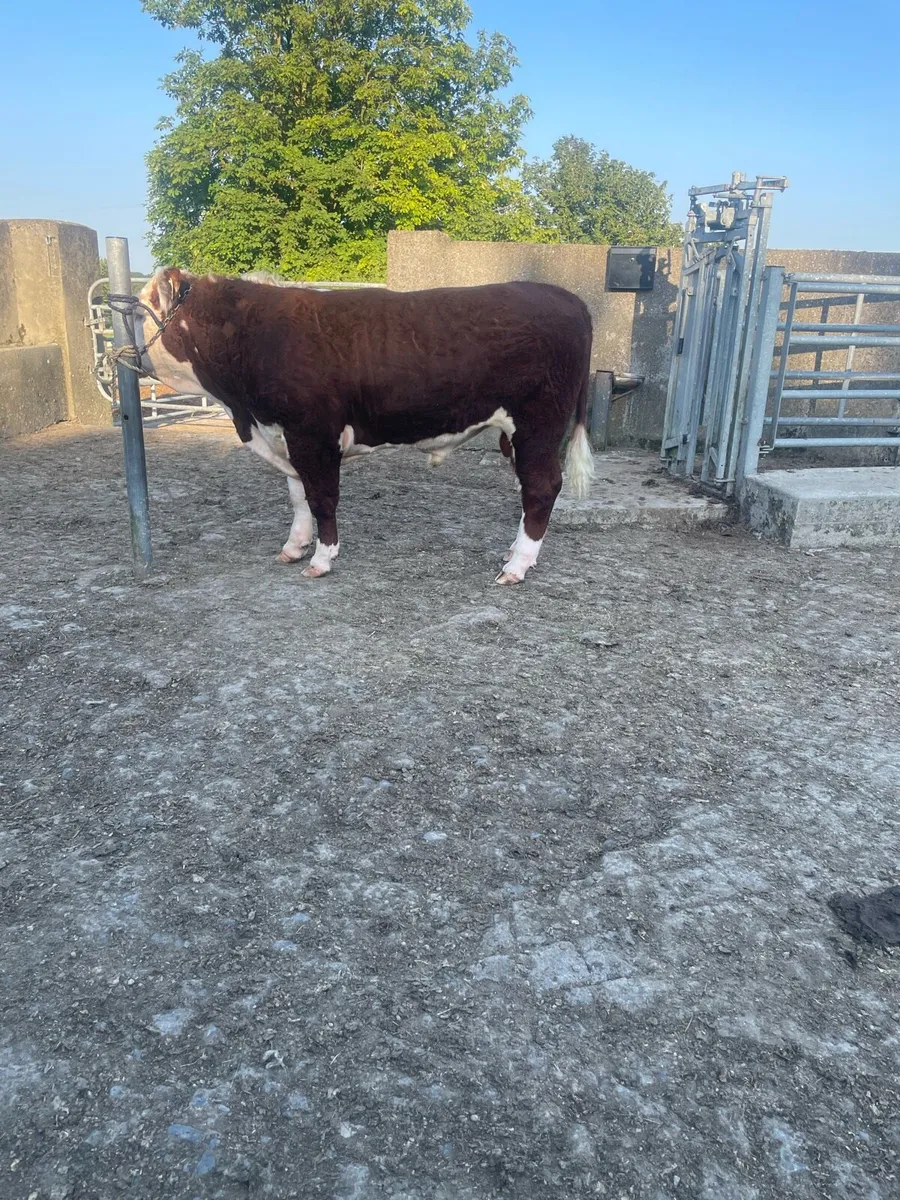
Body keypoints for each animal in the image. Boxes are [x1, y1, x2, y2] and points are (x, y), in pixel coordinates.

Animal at [136, 269, 595, 584]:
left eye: (140, 308)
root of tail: (566, 298)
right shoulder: (284, 434)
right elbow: (298, 495)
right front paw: (294, 546)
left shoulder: (313, 434)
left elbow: (321, 498)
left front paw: (321, 559)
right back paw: (513, 552)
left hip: (538, 424)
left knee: (541, 487)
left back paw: (517, 566)